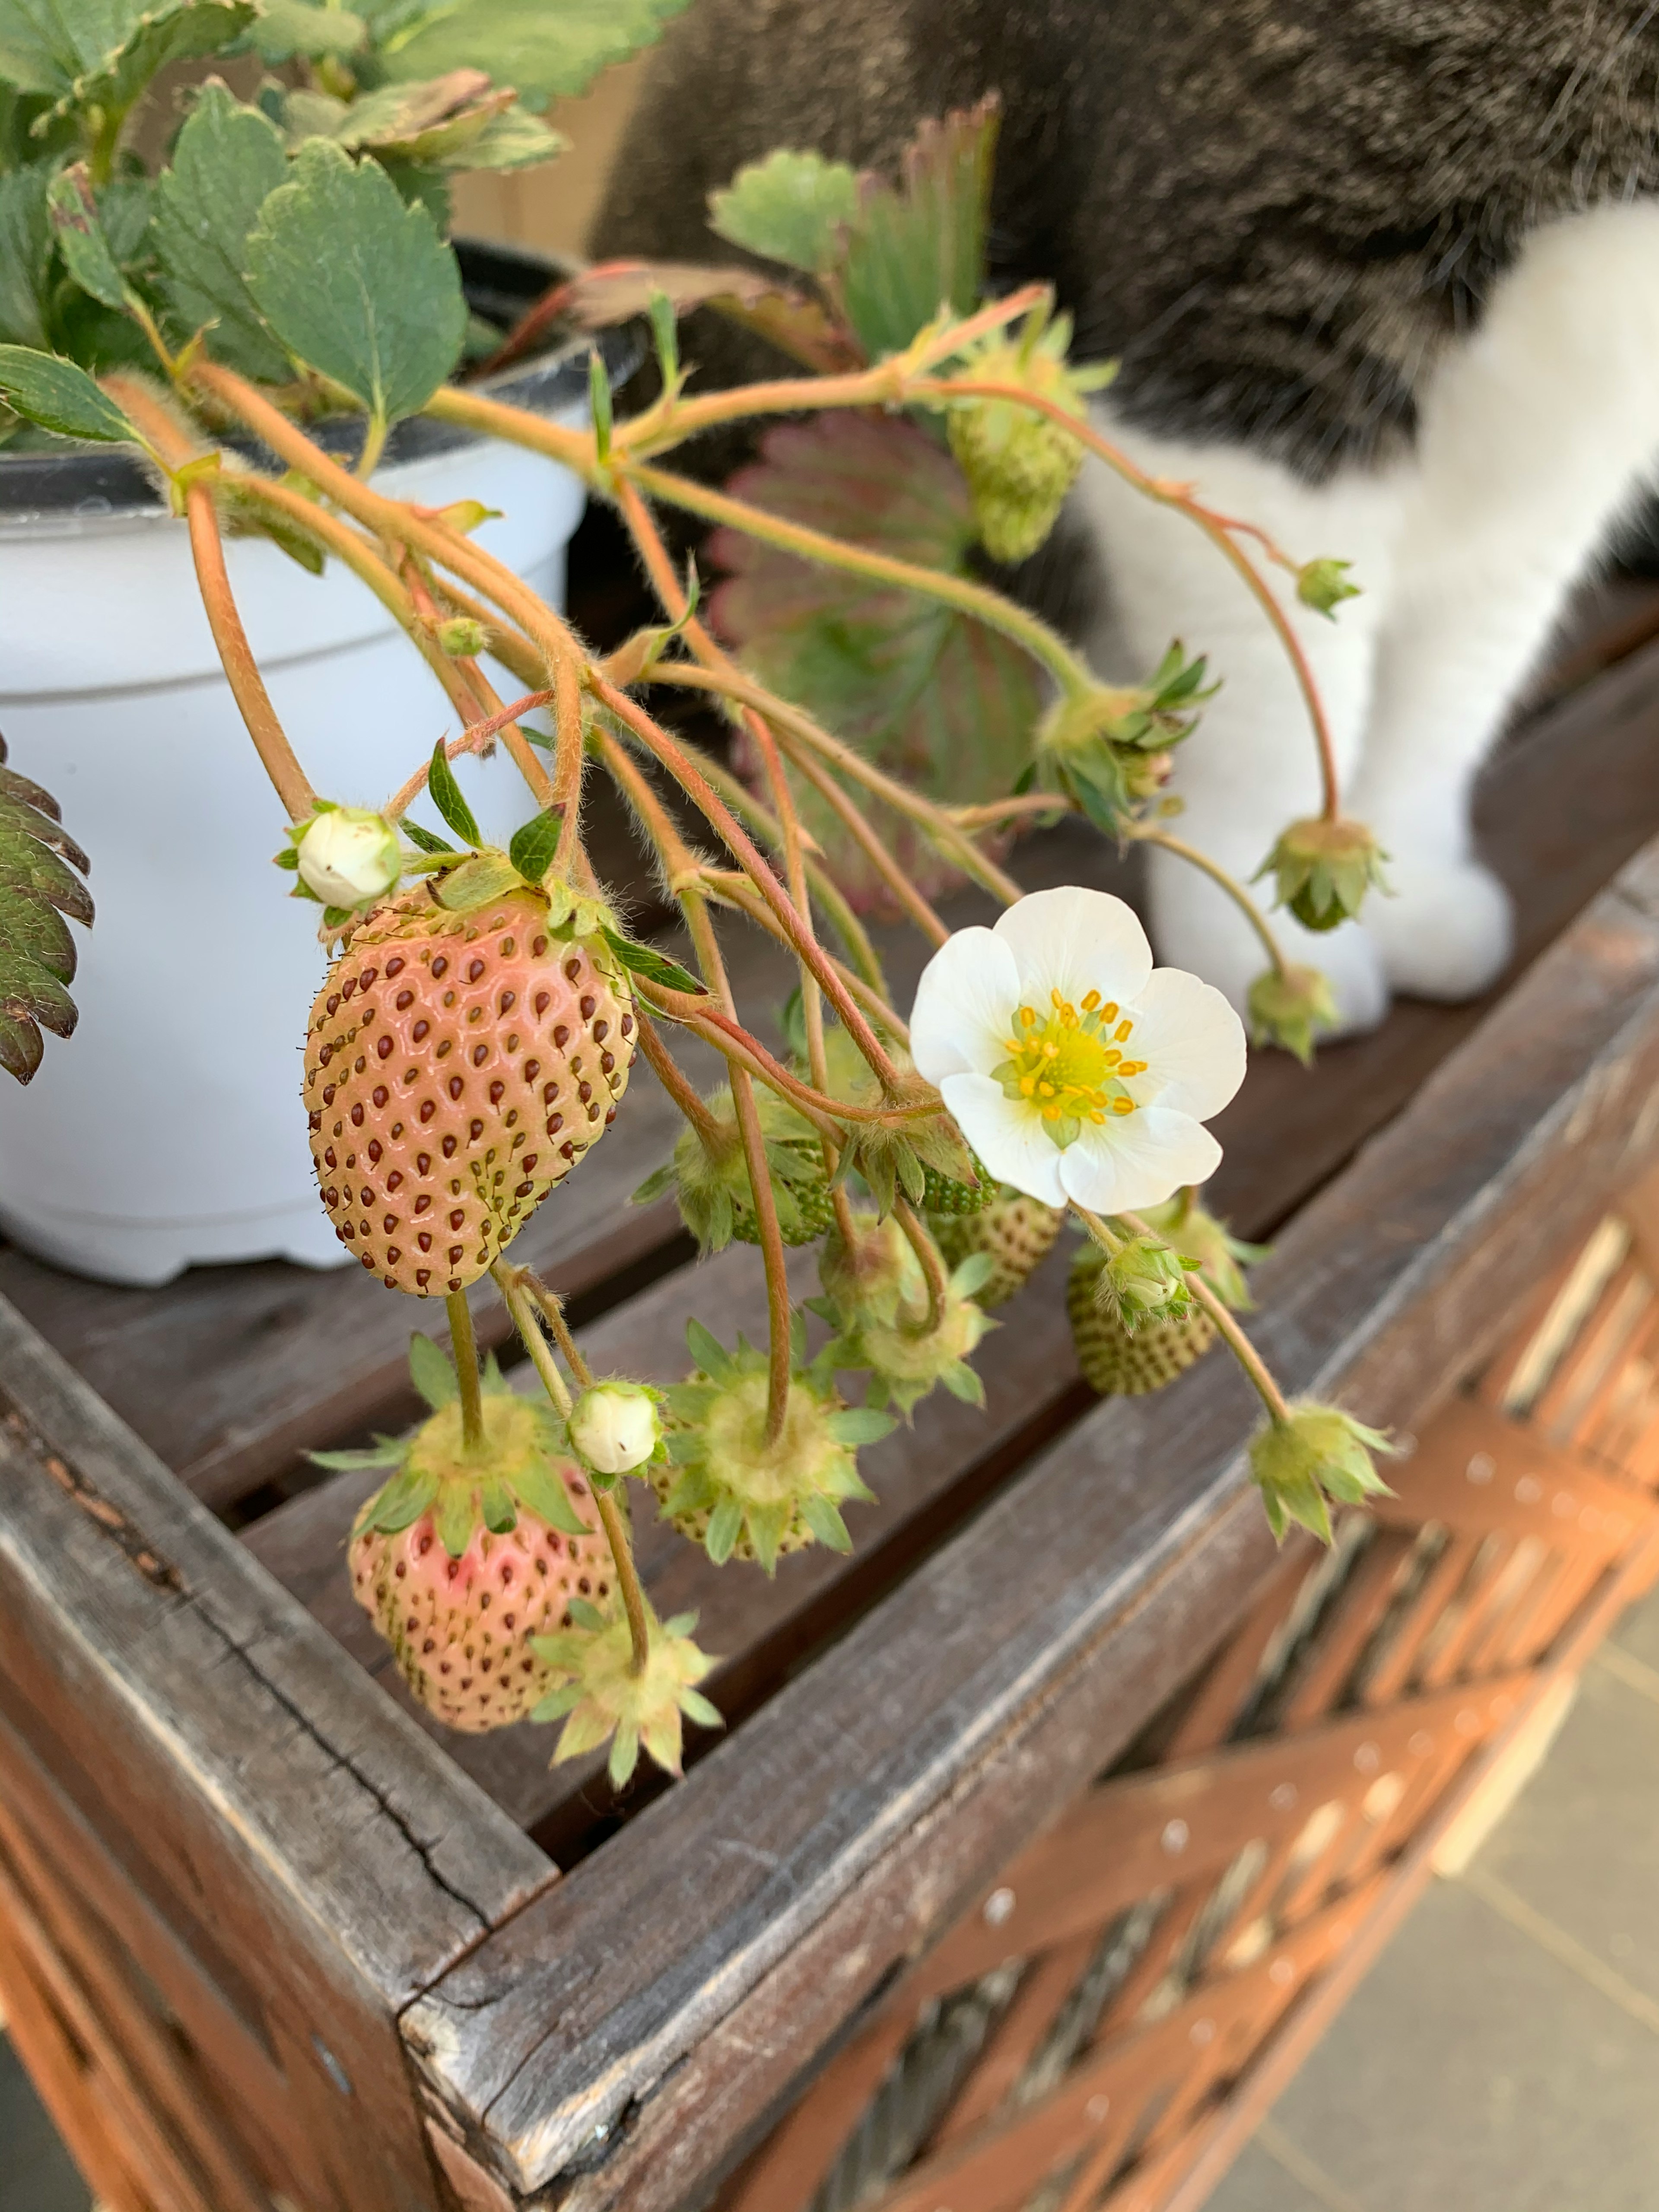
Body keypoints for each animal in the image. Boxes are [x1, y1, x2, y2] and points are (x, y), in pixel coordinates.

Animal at [593, 4, 1659, 1026]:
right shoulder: (1235, 355)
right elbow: (1275, 688)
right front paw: (1274, 941)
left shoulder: (1566, 449)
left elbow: (1449, 698)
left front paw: (1406, 883)